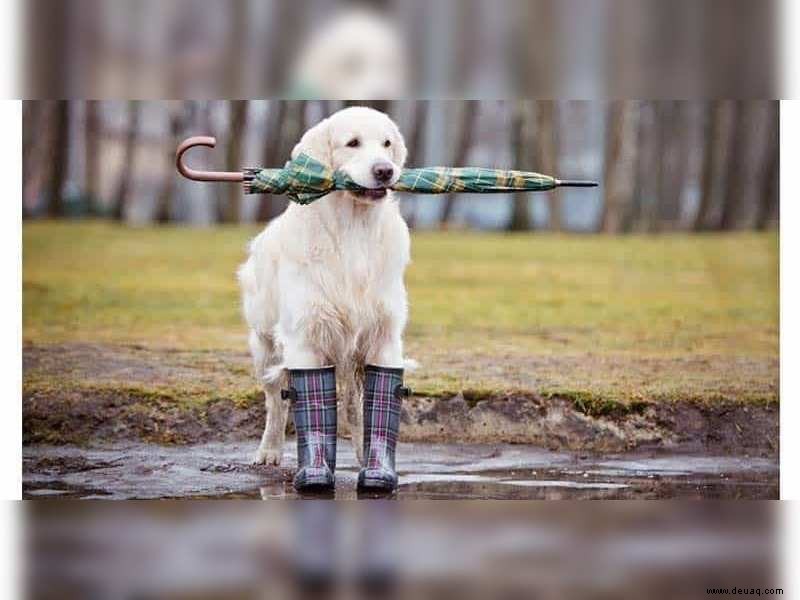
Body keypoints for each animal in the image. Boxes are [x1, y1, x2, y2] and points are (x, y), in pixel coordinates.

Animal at [238, 106, 412, 464]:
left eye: (387, 143)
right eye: (353, 143)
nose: (385, 171)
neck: (354, 229)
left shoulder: (384, 336)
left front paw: (374, 463)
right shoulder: (305, 336)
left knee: (352, 407)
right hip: (264, 345)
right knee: (275, 402)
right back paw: (269, 451)